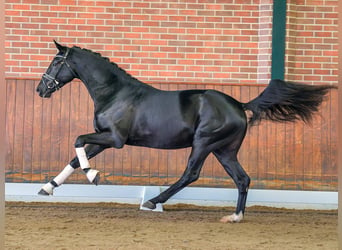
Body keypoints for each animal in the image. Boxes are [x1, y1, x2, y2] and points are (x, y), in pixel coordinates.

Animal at [36, 41, 336, 223]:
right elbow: (76, 157)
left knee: (191, 174)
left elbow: (77, 142)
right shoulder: (103, 138)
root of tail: (239, 105)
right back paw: (235, 217)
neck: (115, 94)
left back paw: (153, 202)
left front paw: (94, 176)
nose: (40, 89)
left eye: (56, 62)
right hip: (224, 150)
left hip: (204, 143)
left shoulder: (115, 139)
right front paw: (47, 188)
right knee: (242, 179)